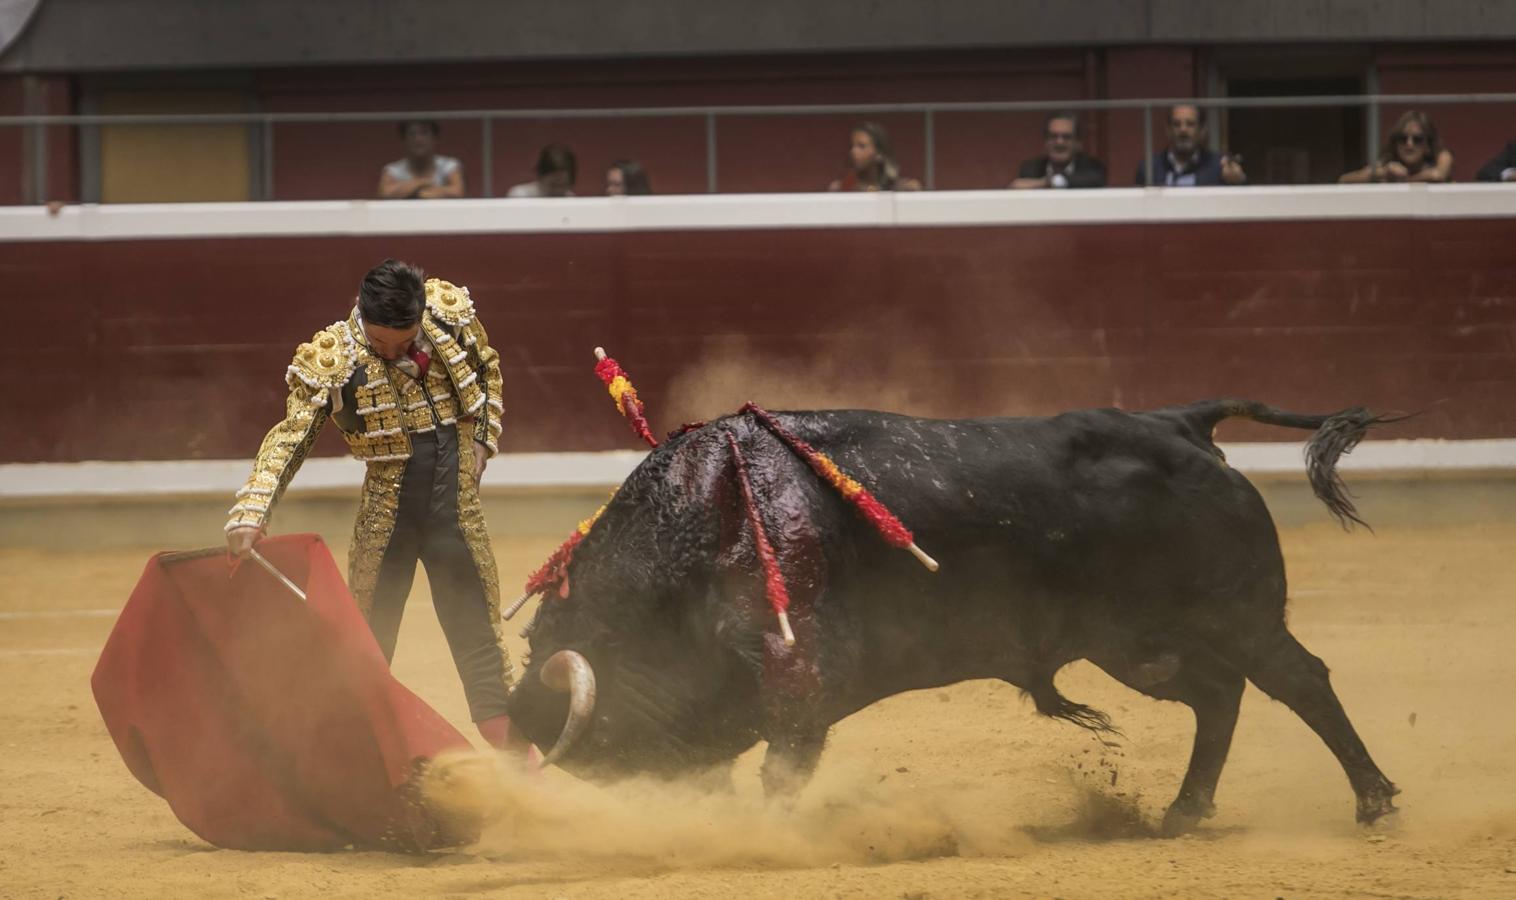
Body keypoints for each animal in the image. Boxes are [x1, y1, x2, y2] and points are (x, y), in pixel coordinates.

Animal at [506, 400, 1394, 836]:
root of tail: (1180, 425)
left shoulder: (800, 681)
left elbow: (783, 771)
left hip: (1238, 614)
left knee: (1300, 681)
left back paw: (1375, 801)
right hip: (1139, 645)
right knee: (1218, 694)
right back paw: (1183, 811)